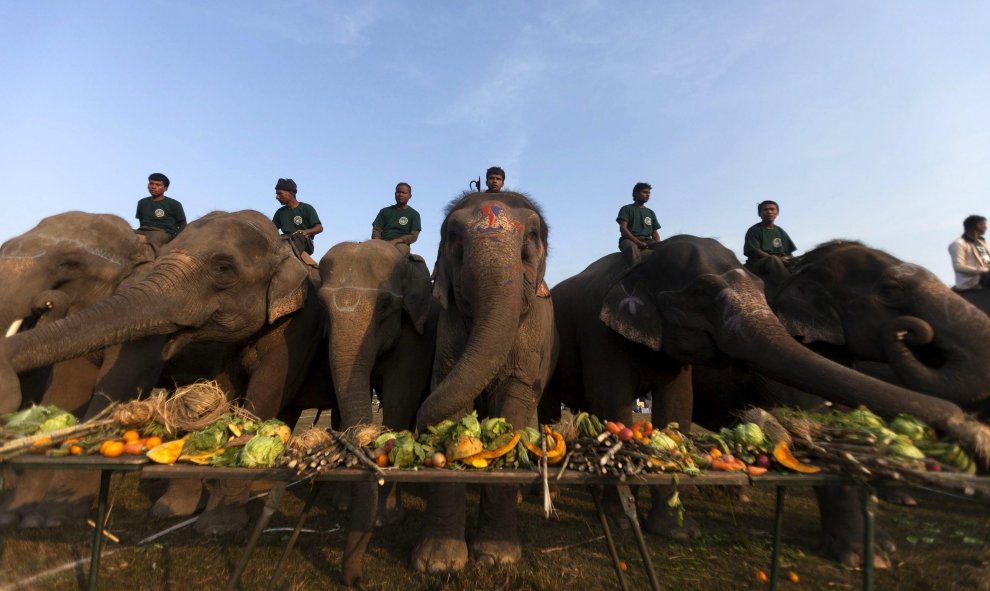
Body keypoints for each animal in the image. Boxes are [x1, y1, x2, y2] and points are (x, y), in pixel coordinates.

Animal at [0, 210, 328, 536]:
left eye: (223, 268)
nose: (45, 302)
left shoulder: (298, 324)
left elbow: (265, 393)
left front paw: (218, 526)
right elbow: (67, 389)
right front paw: (36, 518)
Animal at [316, 238, 436, 584]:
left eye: (384, 305)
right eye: (322, 306)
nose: (356, 580)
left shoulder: (418, 335)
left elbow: (399, 400)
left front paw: (387, 518)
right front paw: (342, 505)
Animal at [410, 192, 560, 572]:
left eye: (530, 241)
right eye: (455, 240)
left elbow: (514, 403)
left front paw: (496, 558)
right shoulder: (448, 328)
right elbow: (450, 390)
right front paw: (438, 564)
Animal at [544, 235, 990, 564]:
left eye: (759, 290)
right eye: (892, 291)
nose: (968, 429)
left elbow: (677, 409)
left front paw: (678, 533)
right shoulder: (599, 332)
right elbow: (614, 403)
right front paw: (864, 558)